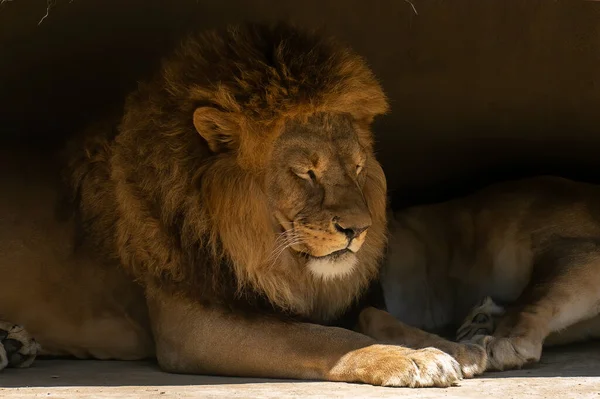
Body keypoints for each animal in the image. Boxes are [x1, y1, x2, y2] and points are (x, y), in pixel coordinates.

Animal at [0, 22, 488, 388]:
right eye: (306, 172)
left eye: (357, 166)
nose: (359, 229)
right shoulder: (190, 326)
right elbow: (322, 338)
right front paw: (413, 359)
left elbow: (372, 314)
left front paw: (456, 347)